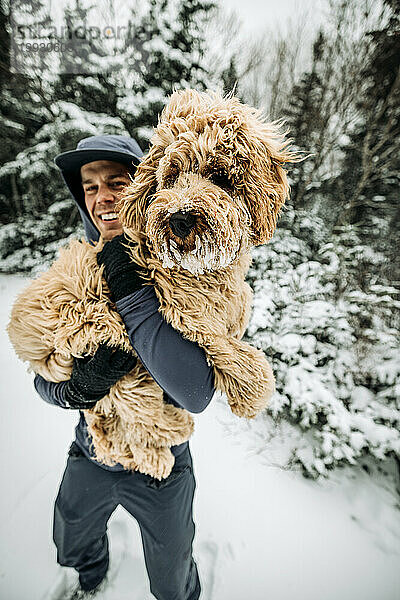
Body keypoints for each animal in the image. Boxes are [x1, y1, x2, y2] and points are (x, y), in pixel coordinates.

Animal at [7, 89, 298, 480]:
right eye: (171, 176)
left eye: (220, 176)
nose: (179, 218)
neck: (204, 270)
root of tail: (21, 333)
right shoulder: (184, 312)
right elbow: (231, 348)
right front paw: (254, 392)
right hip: (106, 336)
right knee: (131, 414)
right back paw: (161, 448)